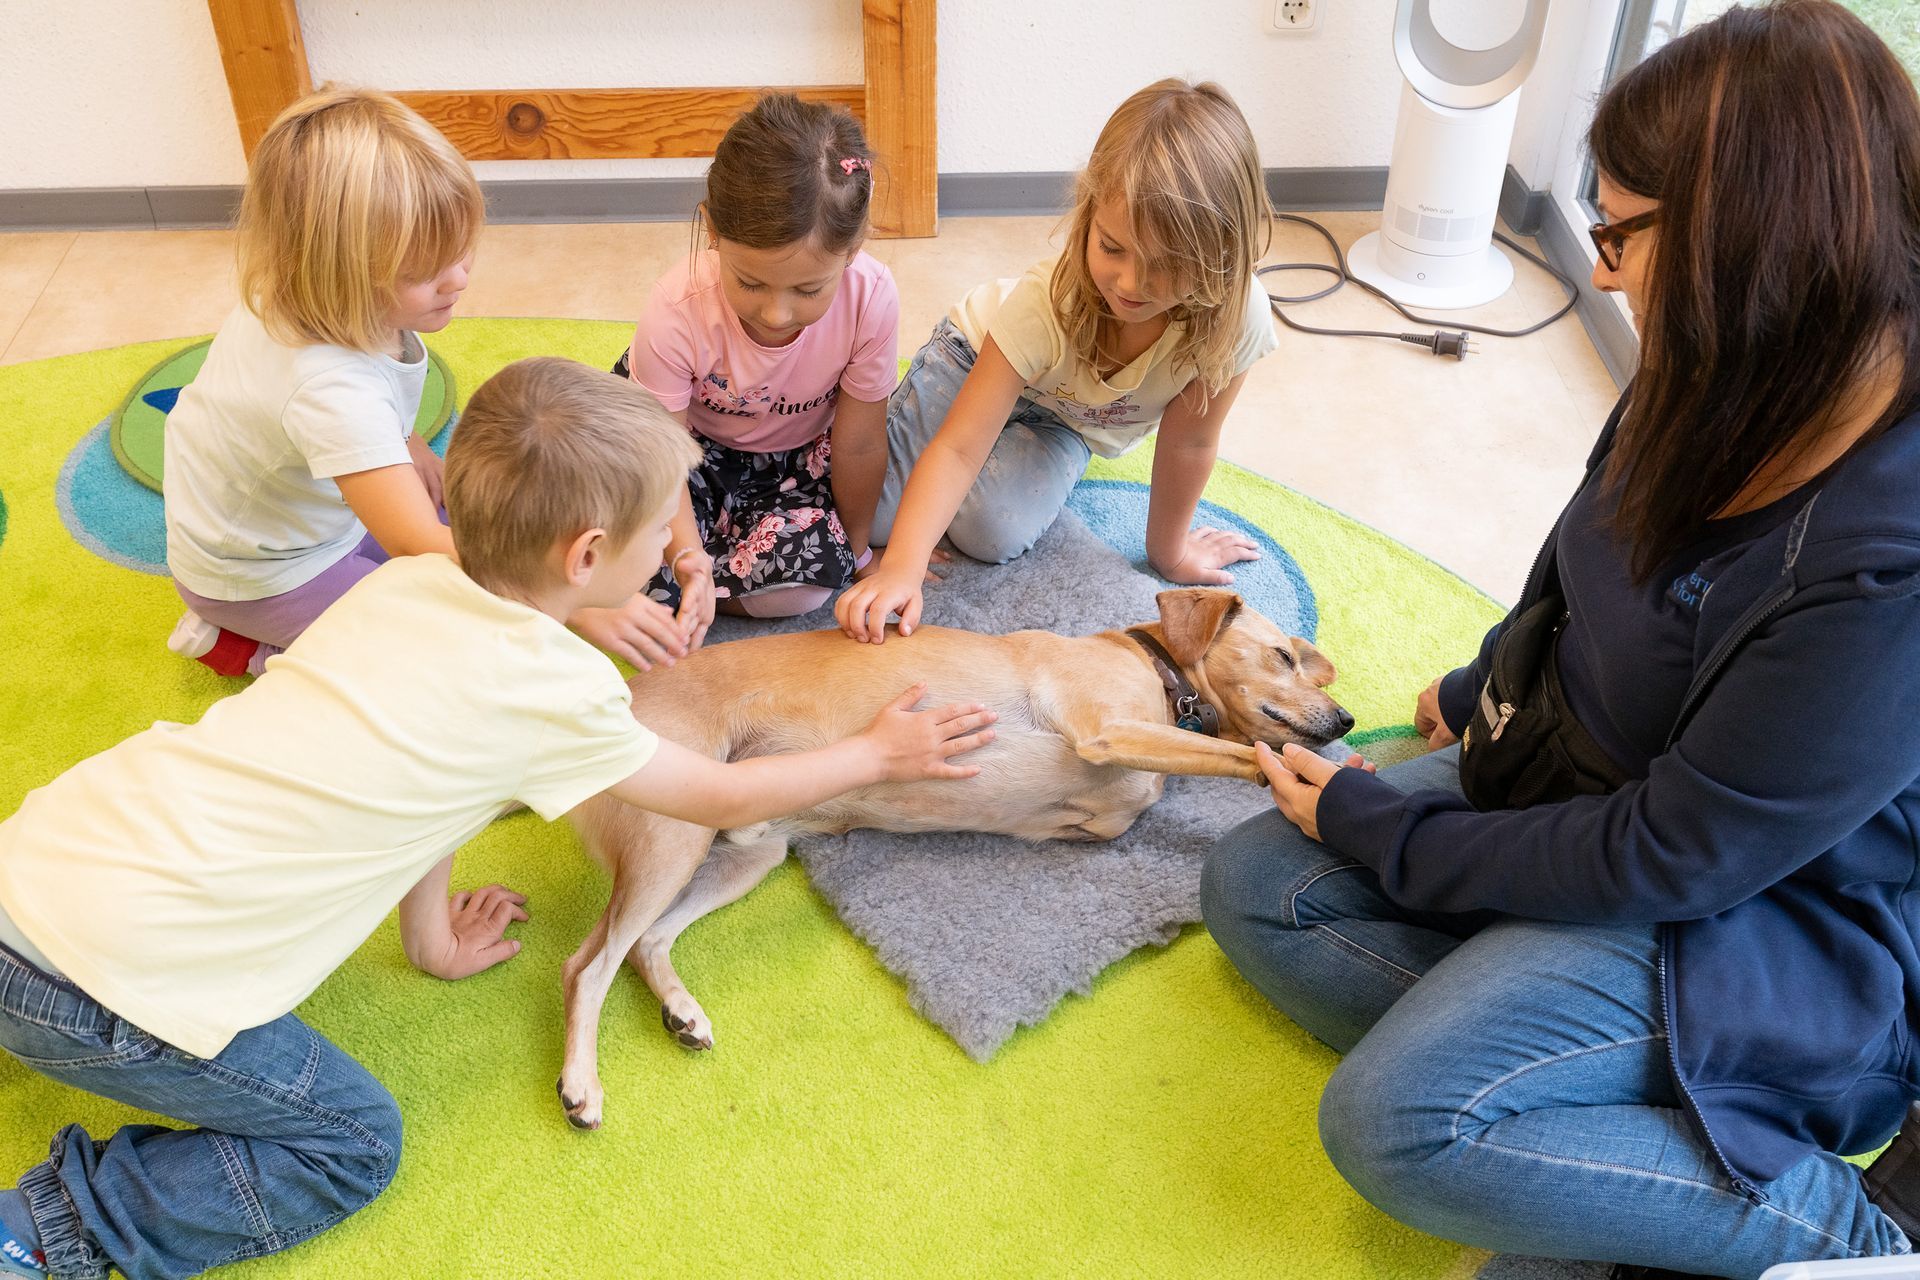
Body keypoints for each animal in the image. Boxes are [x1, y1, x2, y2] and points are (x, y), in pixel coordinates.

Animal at [556, 588, 1351, 1129]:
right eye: (1282, 656)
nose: (1345, 720)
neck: (1162, 677)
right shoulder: (1104, 727)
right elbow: (1248, 757)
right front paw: (1323, 779)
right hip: (669, 844)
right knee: (586, 965)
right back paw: (580, 1085)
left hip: (740, 856)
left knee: (645, 944)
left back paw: (681, 1012)